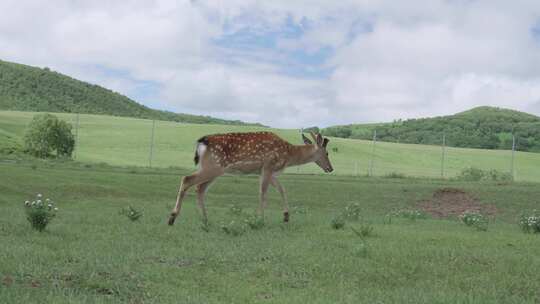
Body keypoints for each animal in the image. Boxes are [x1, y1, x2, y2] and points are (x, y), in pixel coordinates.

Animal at [167, 131, 334, 226]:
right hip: (212, 167)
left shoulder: (268, 172)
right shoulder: (268, 166)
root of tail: (201, 142)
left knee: (199, 188)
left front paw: (286, 216)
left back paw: (205, 220)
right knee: (187, 179)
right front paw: (260, 219)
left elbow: (282, 189)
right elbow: (263, 193)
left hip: (212, 169)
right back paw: (172, 218)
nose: (330, 168)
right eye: (327, 153)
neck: (288, 155)